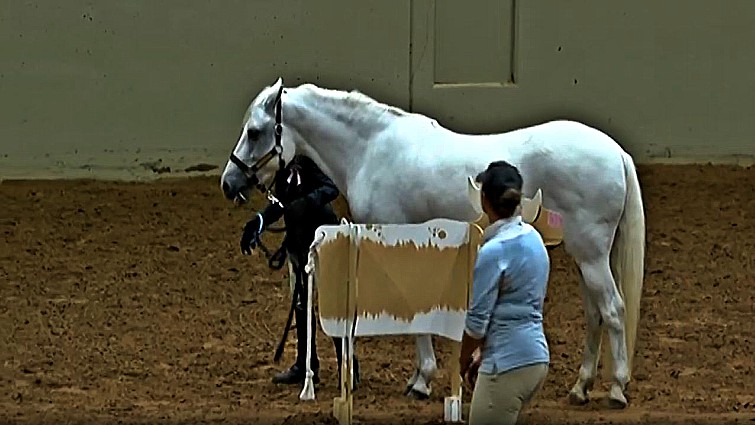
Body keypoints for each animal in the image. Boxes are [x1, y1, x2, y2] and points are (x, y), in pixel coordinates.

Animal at [219, 78, 645, 409]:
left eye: (254, 131)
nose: (229, 182)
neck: (371, 150)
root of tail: (617, 152)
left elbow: (412, 304)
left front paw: (422, 380)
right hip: (586, 255)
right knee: (594, 314)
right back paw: (581, 387)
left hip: (590, 254)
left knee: (612, 310)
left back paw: (617, 388)